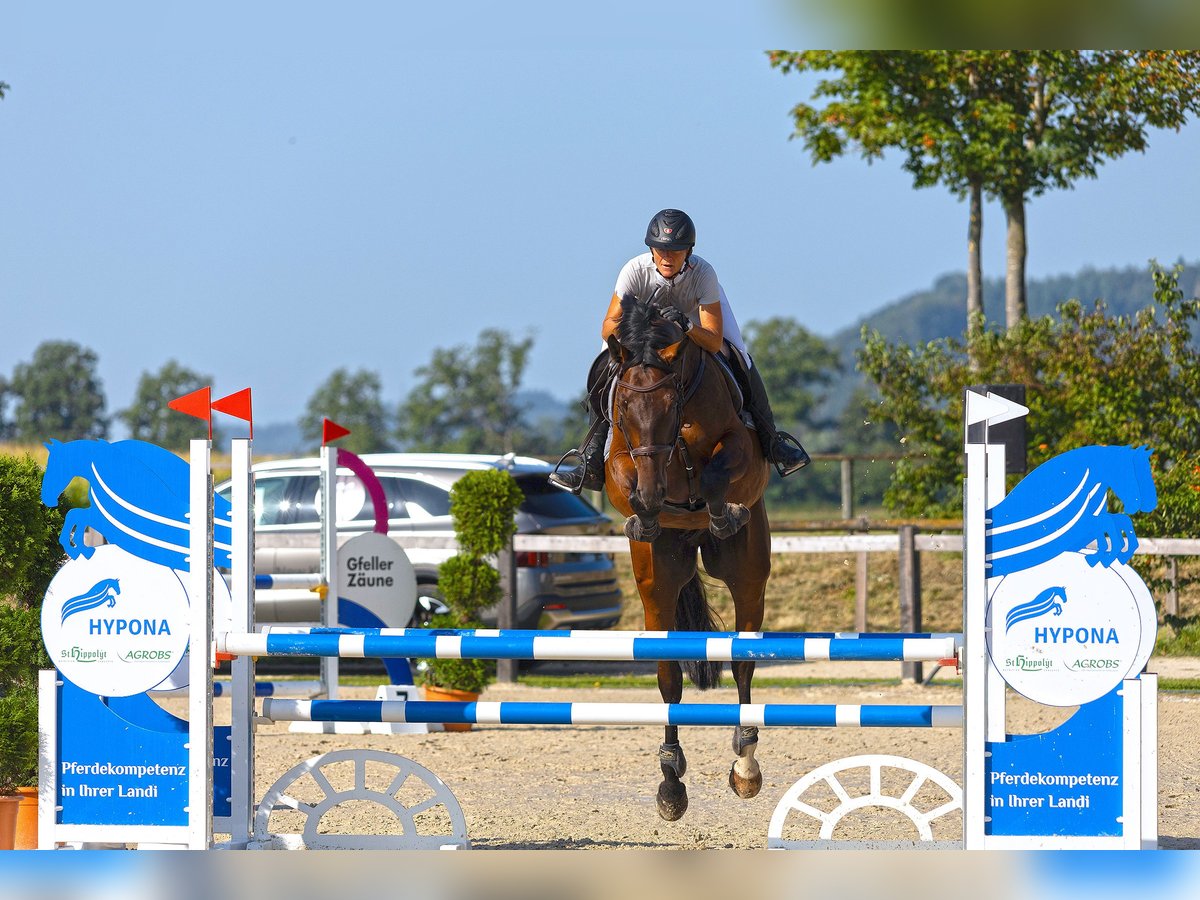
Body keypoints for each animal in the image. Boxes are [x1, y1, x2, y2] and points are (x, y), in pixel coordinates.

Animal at [41, 441, 232, 573]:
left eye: (54, 467)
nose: (47, 499)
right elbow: (75, 515)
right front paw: (82, 550)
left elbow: (76, 515)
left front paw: (77, 549)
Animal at [604, 296, 772, 825]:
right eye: (623, 407)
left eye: (670, 405)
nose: (655, 492)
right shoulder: (621, 458)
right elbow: (625, 477)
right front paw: (645, 514)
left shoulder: (737, 444)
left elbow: (717, 472)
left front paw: (719, 511)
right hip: (659, 584)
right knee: (668, 678)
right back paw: (670, 782)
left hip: (746, 573)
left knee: (742, 664)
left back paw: (746, 765)